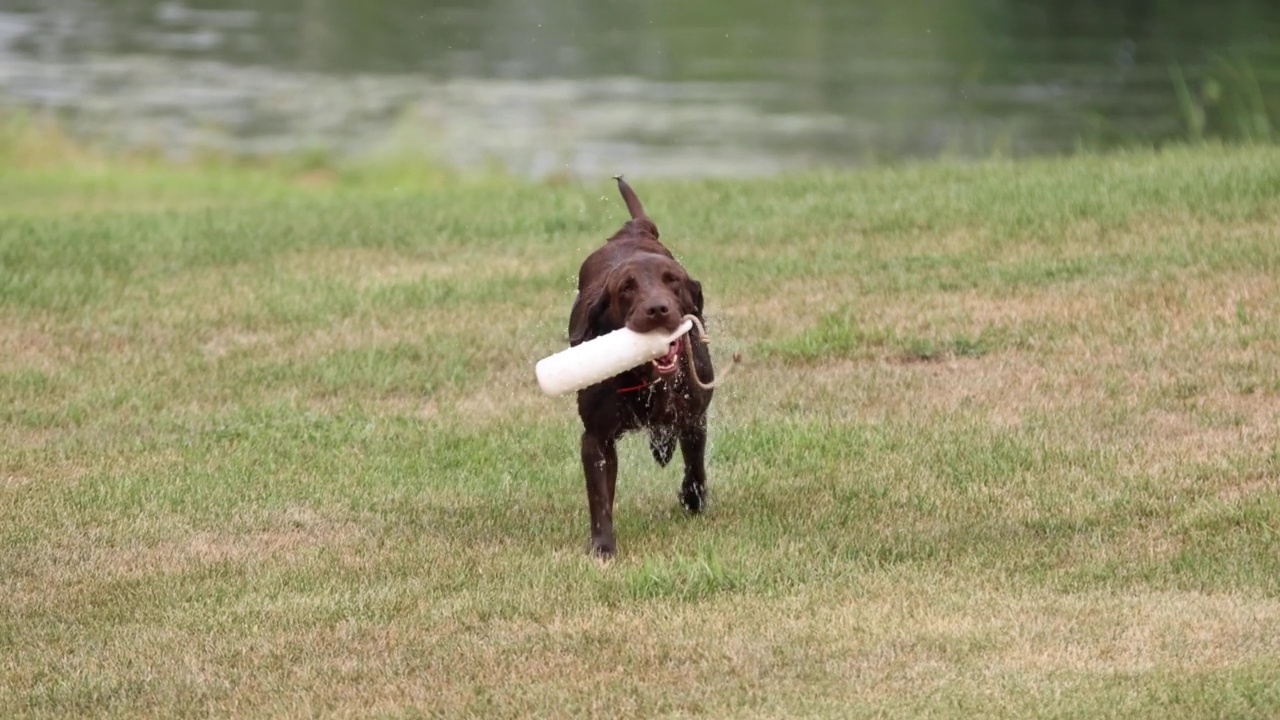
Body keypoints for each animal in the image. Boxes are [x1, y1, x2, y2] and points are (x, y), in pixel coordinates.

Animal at [568, 176, 716, 558]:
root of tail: (631, 230)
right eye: (627, 288)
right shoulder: (597, 438)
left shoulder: (694, 417)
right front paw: (603, 547)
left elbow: (695, 465)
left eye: (672, 280)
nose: (657, 309)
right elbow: (600, 497)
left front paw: (693, 500)